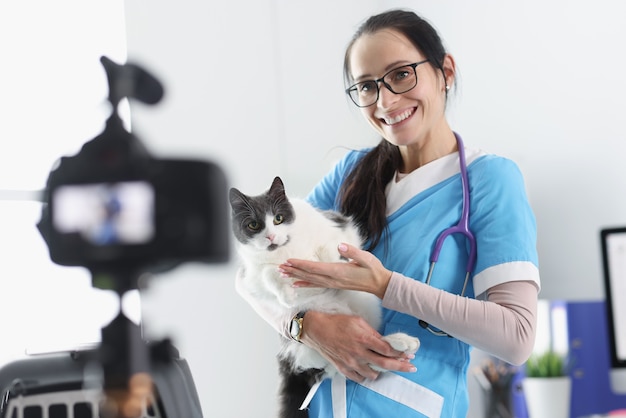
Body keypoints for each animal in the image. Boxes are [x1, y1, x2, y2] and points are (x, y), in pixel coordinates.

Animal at [227, 176, 416, 418]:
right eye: (253, 225)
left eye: (278, 218)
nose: (270, 237)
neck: (286, 250)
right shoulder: (252, 276)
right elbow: (268, 274)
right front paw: (287, 295)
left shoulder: (335, 228)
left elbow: (329, 248)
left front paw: (335, 264)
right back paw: (401, 346)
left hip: (364, 300)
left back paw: (402, 342)